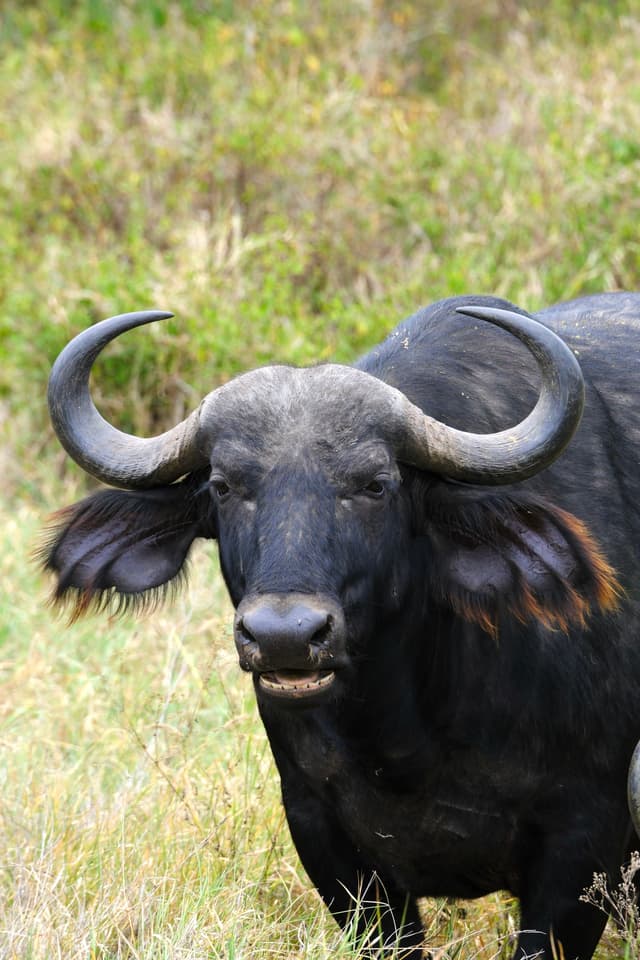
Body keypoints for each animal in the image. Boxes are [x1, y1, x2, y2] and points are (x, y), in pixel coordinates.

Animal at [42, 293, 640, 959]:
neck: (408, 732)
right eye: (223, 486)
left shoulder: (584, 839)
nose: (284, 636)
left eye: (376, 484)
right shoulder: (326, 839)